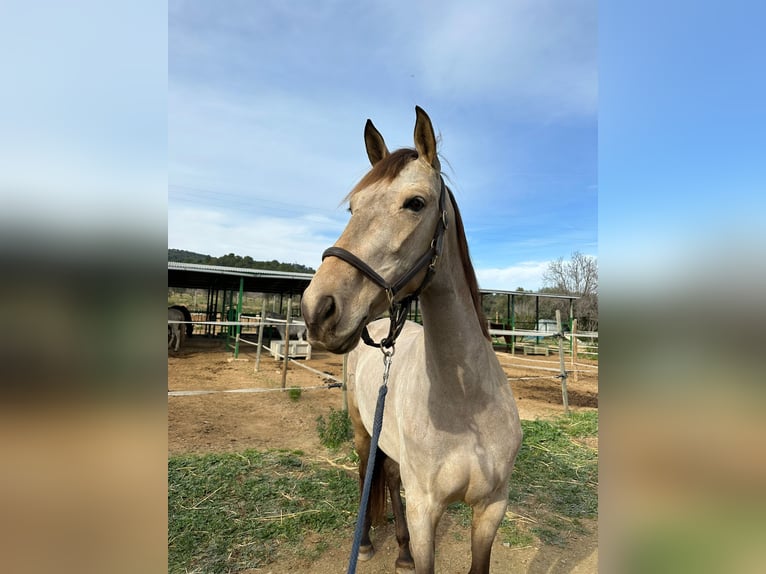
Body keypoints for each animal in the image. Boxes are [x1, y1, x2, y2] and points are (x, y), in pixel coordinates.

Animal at [304, 107, 524, 572]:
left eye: (415, 203)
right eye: (353, 207)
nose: (317, 309)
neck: (467, 406)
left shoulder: (492, 508)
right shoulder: (426, 513)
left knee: (387, 476)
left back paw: (400, 549)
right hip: (362, 431)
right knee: (366, 473)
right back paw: (367, 542)